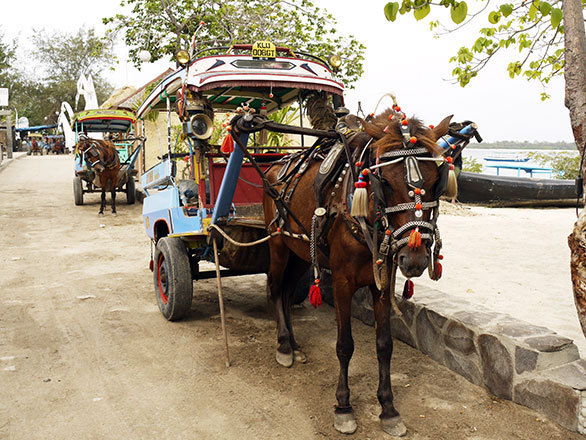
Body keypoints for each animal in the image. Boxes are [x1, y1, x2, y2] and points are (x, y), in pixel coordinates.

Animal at [264, 109, 452, 436]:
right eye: (384, 182)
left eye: (435, 183)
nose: (413, 258)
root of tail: (277, 166)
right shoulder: (342, 282)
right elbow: (344, 346)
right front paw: (343, 406)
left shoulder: (383, 281)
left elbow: (384, 345)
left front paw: (388, 408)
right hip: (278, 243)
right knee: (276, 289)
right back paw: (284, 346)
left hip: (301, 251)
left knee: (287, 291)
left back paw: (295, 344)